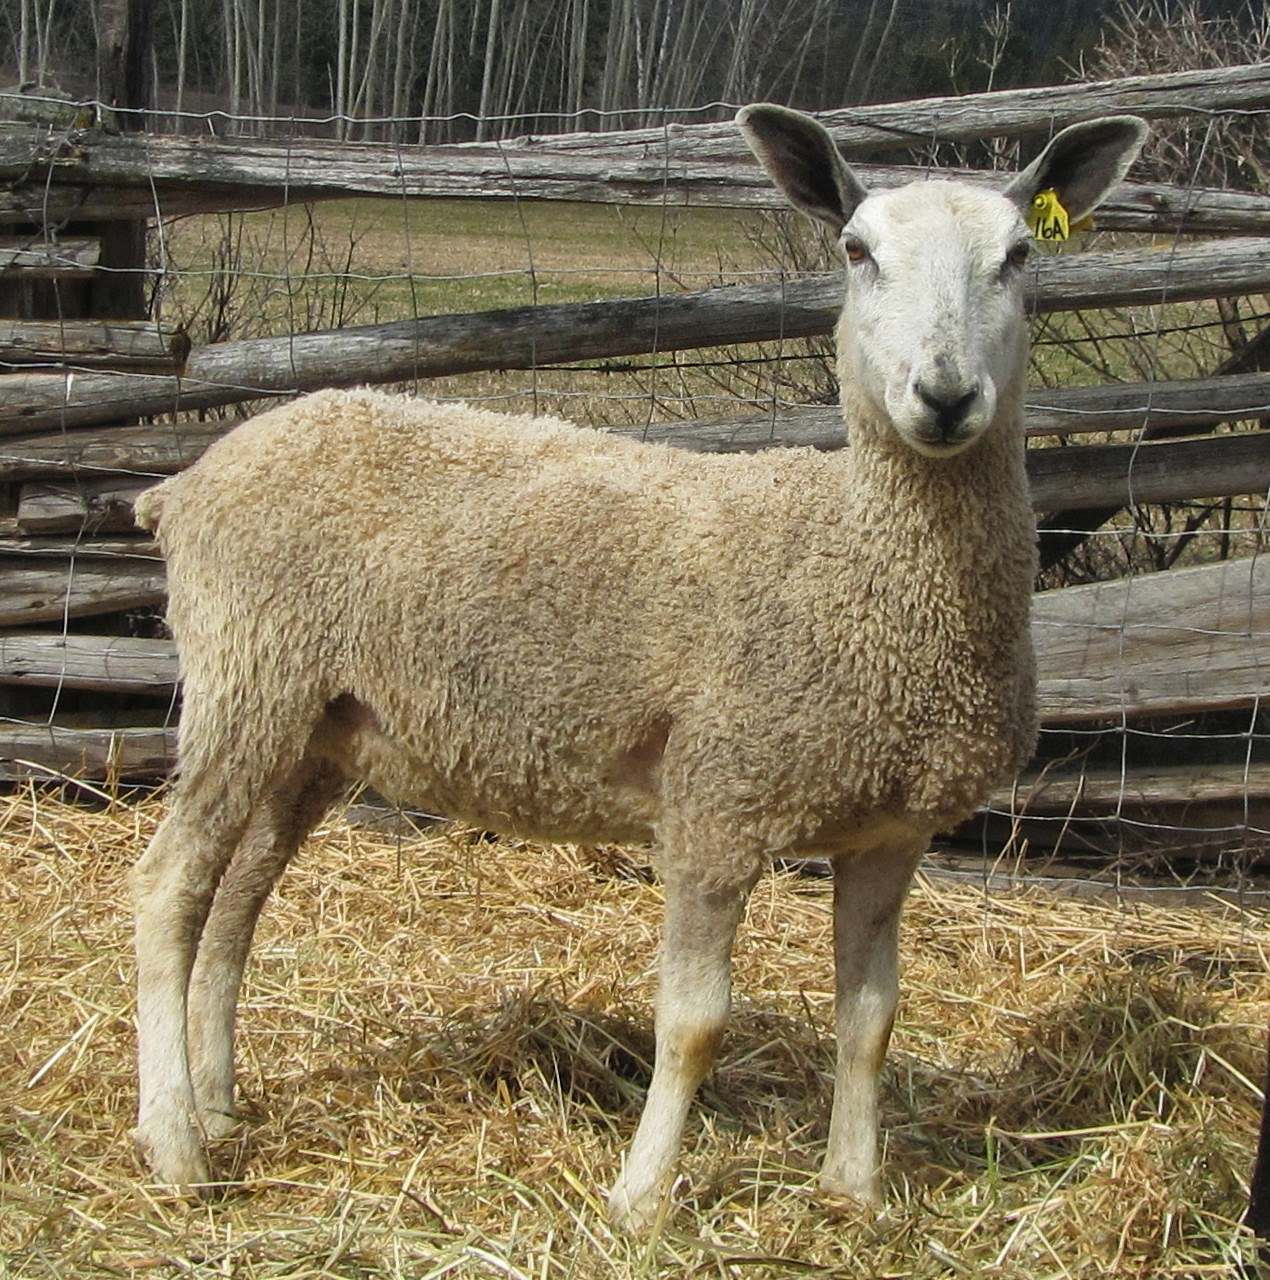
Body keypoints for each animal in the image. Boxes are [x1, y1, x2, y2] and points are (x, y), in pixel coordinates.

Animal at [129, 104, 1147, 1230]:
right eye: (856, 251)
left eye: (1018, 257)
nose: (946, 393)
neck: (853, 560)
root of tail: (190, 479)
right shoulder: (715, 799)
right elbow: (695, 1020)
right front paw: (639, 1197)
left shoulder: (891, 830)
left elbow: (872, 1015)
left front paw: (854, 1188)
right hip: (244, 676)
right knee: (167, 890)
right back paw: (176, 1145)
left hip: (317, 726)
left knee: (235, 902)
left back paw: (220, 1102)